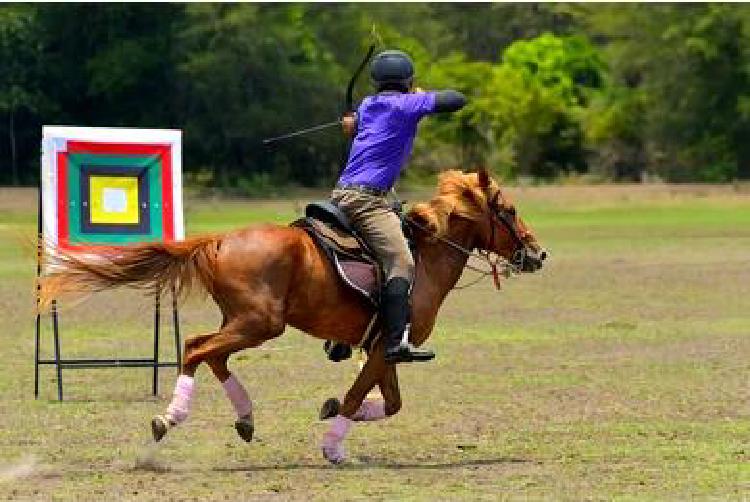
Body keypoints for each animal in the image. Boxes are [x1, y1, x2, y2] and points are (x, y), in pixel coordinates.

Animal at [39, 168, 548, 462]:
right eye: (509, 209)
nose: (538, 254)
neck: (425, 254)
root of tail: (218, 240)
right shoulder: (386, 347)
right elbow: (358, 397)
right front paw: (334, 446)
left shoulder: (380, 349)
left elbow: (388, 402)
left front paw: (333, 413)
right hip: (259, 323)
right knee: (195, 348)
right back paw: (170, 418)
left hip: (243, 321)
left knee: (212, 355)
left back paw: (244, 418)